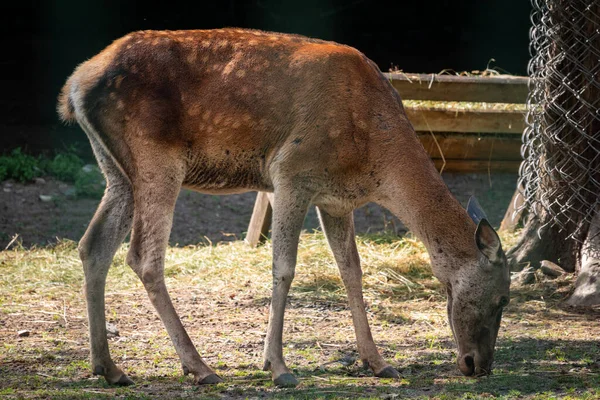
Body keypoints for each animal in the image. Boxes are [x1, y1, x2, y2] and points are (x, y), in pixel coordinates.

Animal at [57, 27, 510, 388]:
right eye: (503, 299)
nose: (478, 365)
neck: (375, 158)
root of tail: (73, 87)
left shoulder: (336, 200)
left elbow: (352, 271)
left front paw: (378, 362)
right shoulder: (291, 172)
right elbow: (285, 268)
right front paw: (278, 366)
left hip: (117, 171)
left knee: (92, 245)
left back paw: (108, 367)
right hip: (156, 159)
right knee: (143, 257)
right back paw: (199, 367)